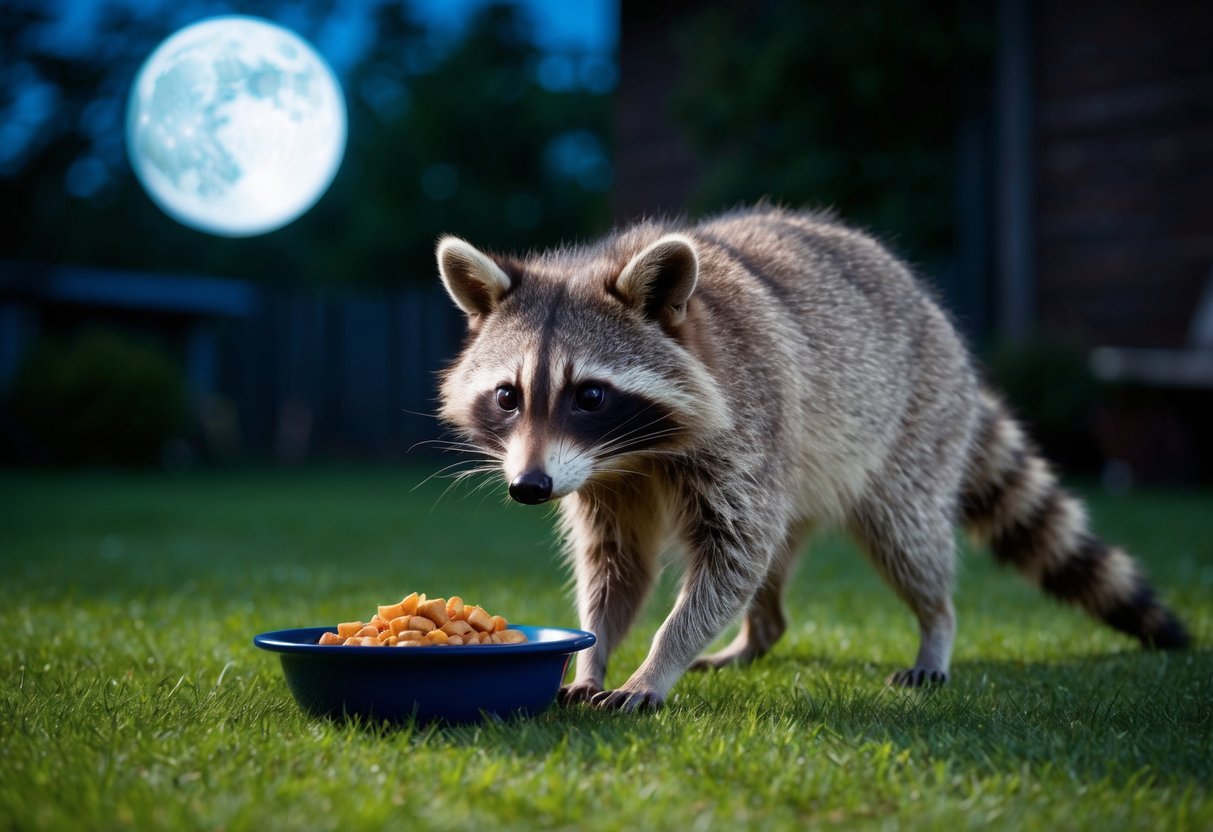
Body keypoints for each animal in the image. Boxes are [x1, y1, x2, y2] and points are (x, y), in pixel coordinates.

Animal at [434, 205, 1189, 712]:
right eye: (508, 396)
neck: (633, 453)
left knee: (904, 536)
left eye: (589, 394)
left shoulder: (745, 426)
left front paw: (657, 662)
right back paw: (759, 633)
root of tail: (936, 319)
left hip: (911, 428)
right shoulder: (602, 480)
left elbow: (729, 557)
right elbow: (618, 569)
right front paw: (595, 656)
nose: (529, 487)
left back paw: (935, 627)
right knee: (772, 561)